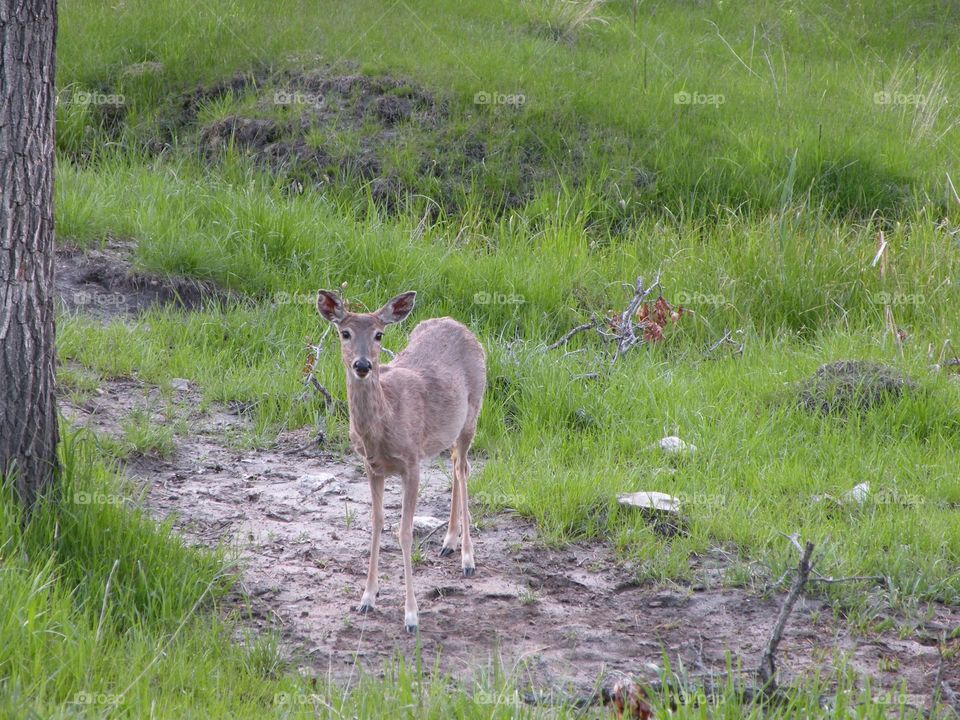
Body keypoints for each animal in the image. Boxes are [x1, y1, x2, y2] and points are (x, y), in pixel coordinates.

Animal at [318, 290, 488, 632]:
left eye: (379, 334)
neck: (386, 420)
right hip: (448, 431)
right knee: (455, 465)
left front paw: (411, 616)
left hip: (473, 413)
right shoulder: (372, 467)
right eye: (345, 333)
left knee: (463, 468)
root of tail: (457, 323)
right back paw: (448, 542)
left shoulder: (411, 463)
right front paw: (367, 598)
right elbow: (377, 523)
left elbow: (404, 532)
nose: (362, 365)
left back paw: (467, 558)